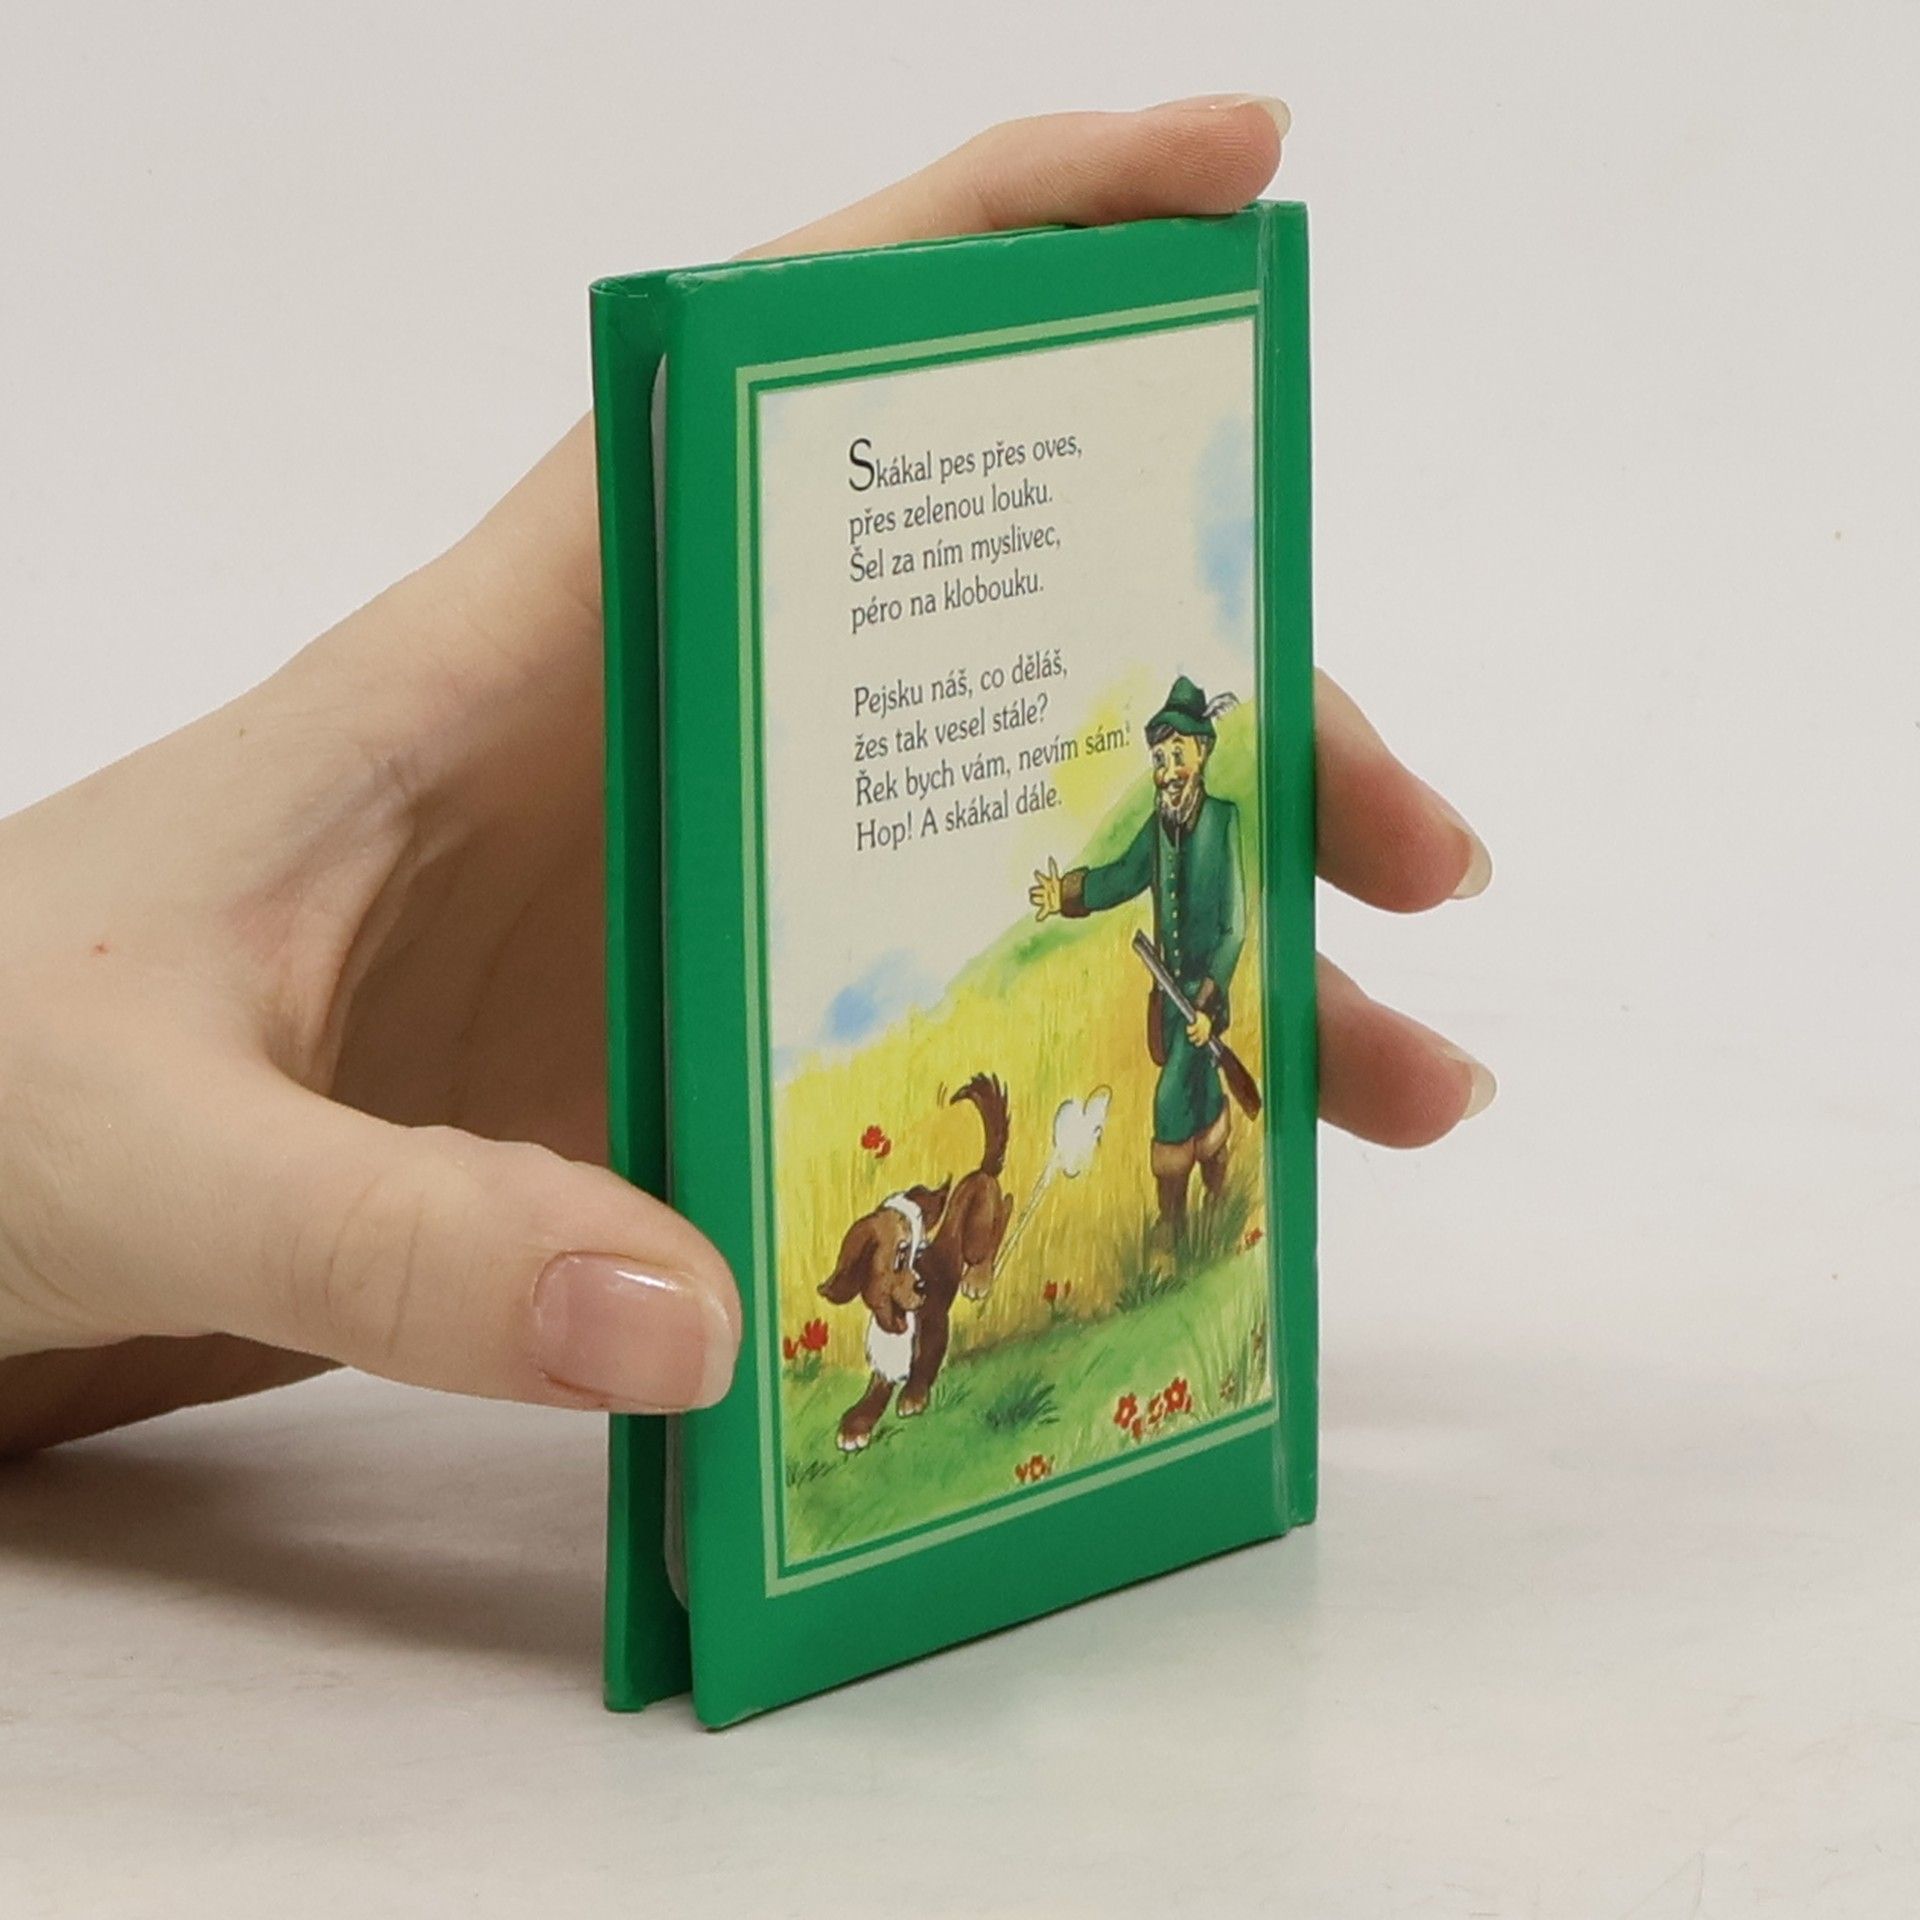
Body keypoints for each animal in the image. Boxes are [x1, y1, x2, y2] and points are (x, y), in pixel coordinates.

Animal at [818, 1073, 1011, 1453]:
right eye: (899, 1257)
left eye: (920, 1252)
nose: (923, 1286)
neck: (895, 1322)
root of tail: (981, 1172)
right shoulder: (882, 1371)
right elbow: (870, 1400)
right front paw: (854, 1427)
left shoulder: (935, 1327)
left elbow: (924, 1364)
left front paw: (912, 1398)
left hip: (978, 1231)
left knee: (1005, 1212)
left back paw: (977, 1280)